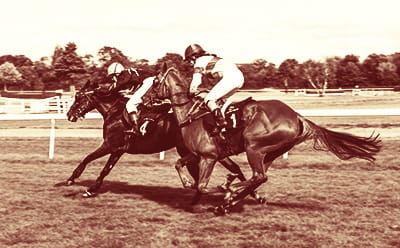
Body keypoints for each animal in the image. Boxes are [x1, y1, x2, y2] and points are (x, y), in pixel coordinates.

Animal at [65, 80, 253, 201]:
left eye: (78, 97)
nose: (69, 114)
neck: (115, 112)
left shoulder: (112, 146)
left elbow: (91, 161)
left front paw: (77, 182)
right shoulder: (118, 149)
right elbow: (100, 166)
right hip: (208, 152)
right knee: (230, 169)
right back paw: (245, 193)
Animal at [146, 66, 382, 215]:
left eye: (155, 82)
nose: (145, 100)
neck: (191, 115)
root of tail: (297, 117)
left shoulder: (209, 156)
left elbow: (203, 186)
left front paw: (225, 187)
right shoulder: (197, 154)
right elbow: (180, 165)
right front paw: (198, 186)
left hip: (254, 147)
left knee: (258, 176)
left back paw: (230, 192)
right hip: (270, 152)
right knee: (258, 177)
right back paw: (229, 199)